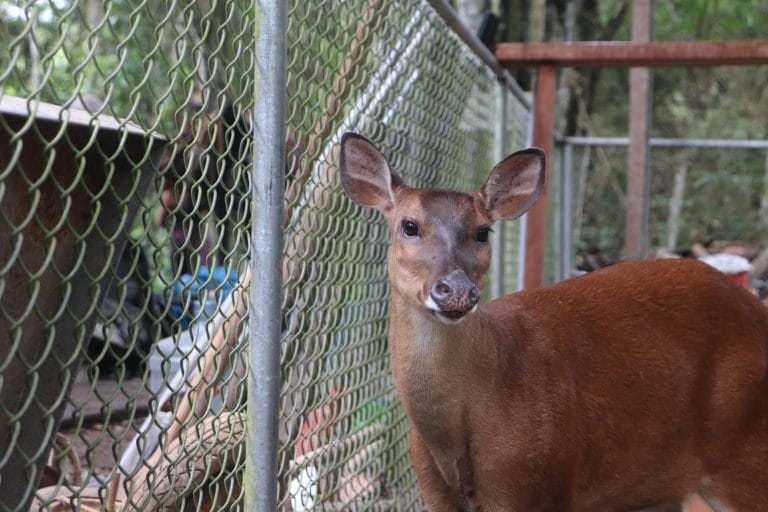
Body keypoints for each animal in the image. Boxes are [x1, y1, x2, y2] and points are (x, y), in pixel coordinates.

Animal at [339, 132, 768, 512]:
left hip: (746, 458)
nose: (456, 290)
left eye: (483, 231)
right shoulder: (435, 494)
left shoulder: (535, 483)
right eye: (409, 226)